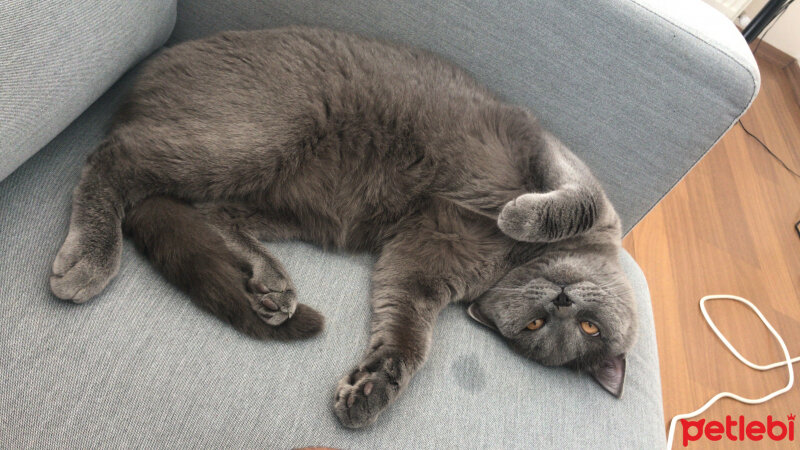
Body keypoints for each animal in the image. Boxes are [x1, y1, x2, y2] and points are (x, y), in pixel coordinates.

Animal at [50, 26, 636, 428]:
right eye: (586, 326)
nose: (560, 301)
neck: (510, 261)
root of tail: (150, 72)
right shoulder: (554, 160)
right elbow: (575, 201)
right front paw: (519, 215)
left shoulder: (420, 259)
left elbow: (407, 336)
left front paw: (370, 391)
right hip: (258, 135)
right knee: (112, 157)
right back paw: (90, 260)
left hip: (292, 203)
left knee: (210, 212)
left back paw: (273, 286)